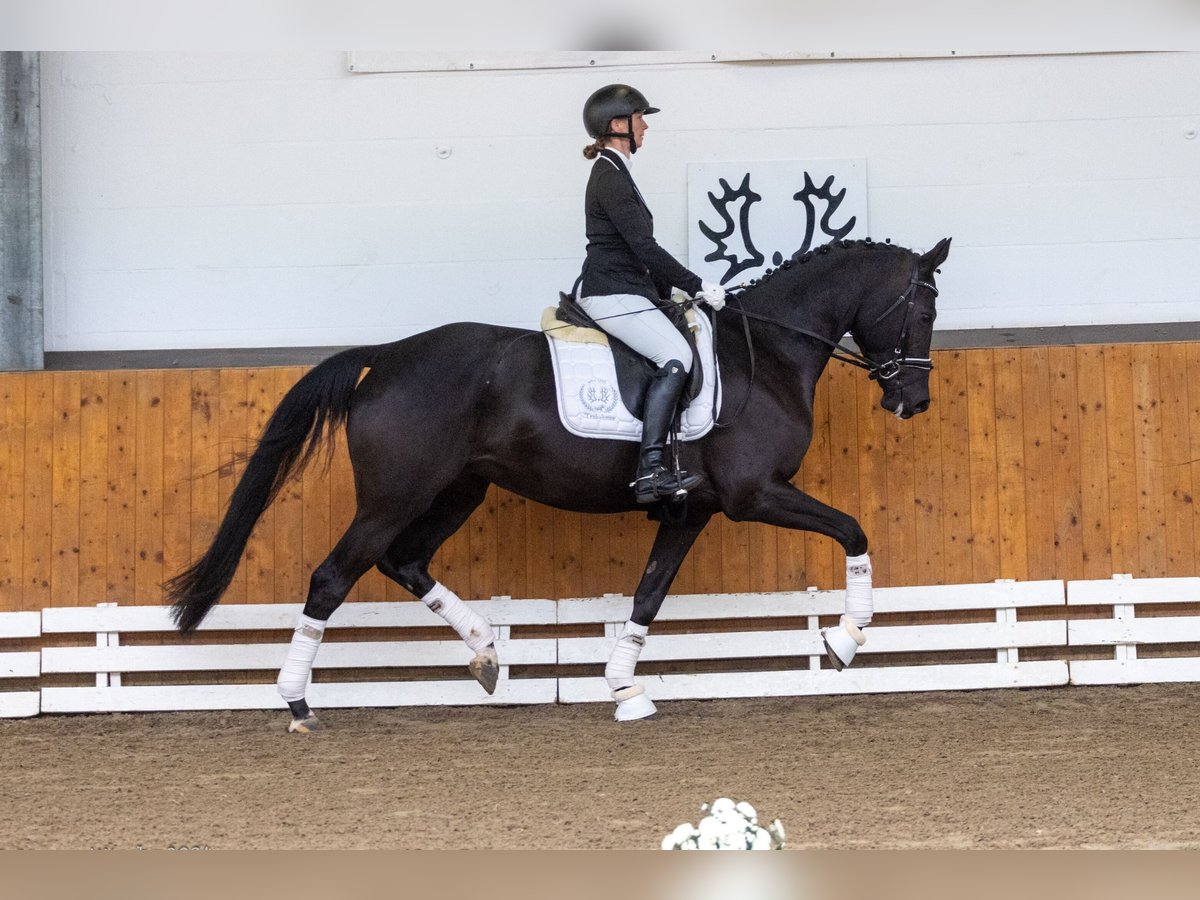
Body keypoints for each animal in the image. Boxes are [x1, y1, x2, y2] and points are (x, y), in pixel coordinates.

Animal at [171, 237, 945, 734]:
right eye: (924, 310)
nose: (913, 402)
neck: (768, 354)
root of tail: (388, 356)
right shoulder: (754, 495)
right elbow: (854, 531)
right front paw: (847, 640)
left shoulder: (691, 510)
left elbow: (648, 595)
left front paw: (624, 688)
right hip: (395, 496)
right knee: (333, 577)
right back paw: (298, 703)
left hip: (458, 491)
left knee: (405, 560)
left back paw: (487, 652)